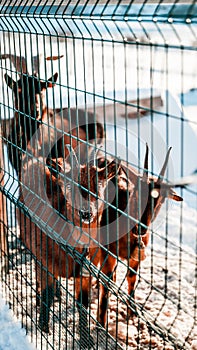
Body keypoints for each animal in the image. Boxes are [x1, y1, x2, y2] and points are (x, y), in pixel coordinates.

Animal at [97, 144, 183, 326]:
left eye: (162, 199)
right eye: (137, 191)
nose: (141, 228)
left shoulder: (135, 258)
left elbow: (131, 279)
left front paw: (132, 312)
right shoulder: (108, 252)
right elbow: (105, 286)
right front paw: (101, 323)